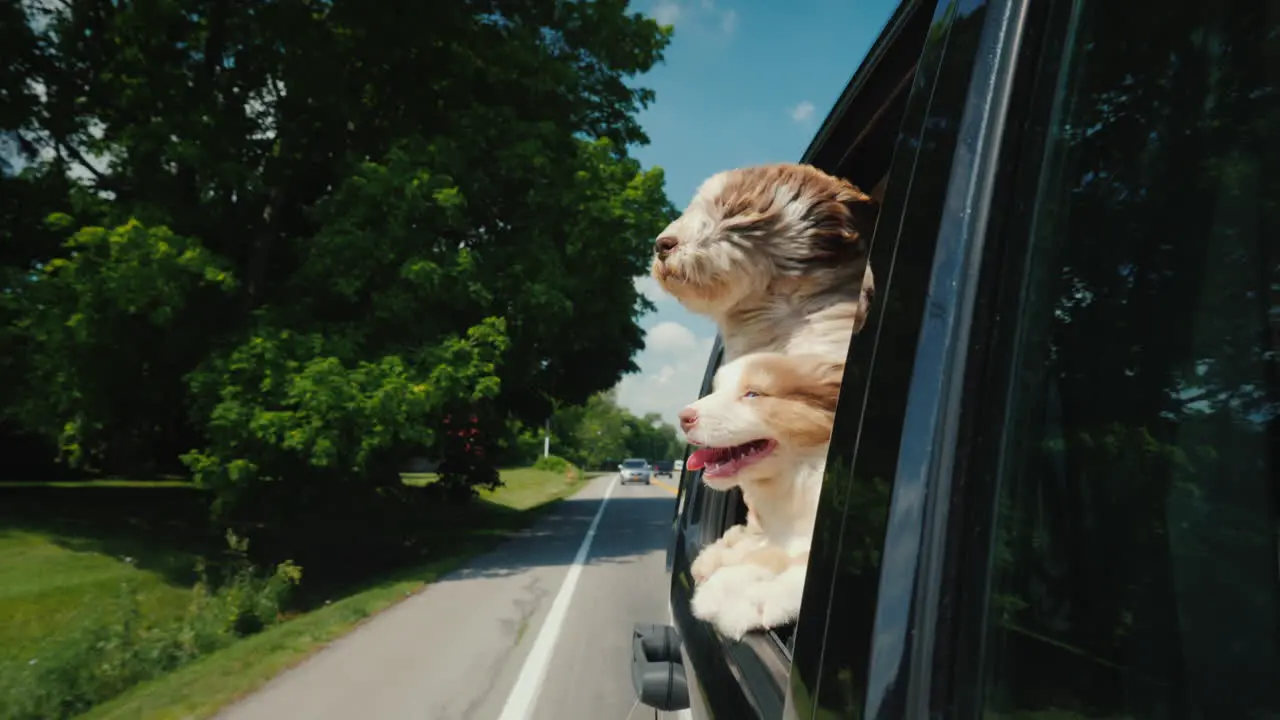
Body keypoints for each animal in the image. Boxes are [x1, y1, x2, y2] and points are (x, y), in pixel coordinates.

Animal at [675, 351, 844, 635]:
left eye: (753, 394)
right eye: (717, 389)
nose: (683, 418)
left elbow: (800, 567)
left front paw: (754, 598)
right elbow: (758, 549)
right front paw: (720, 574)